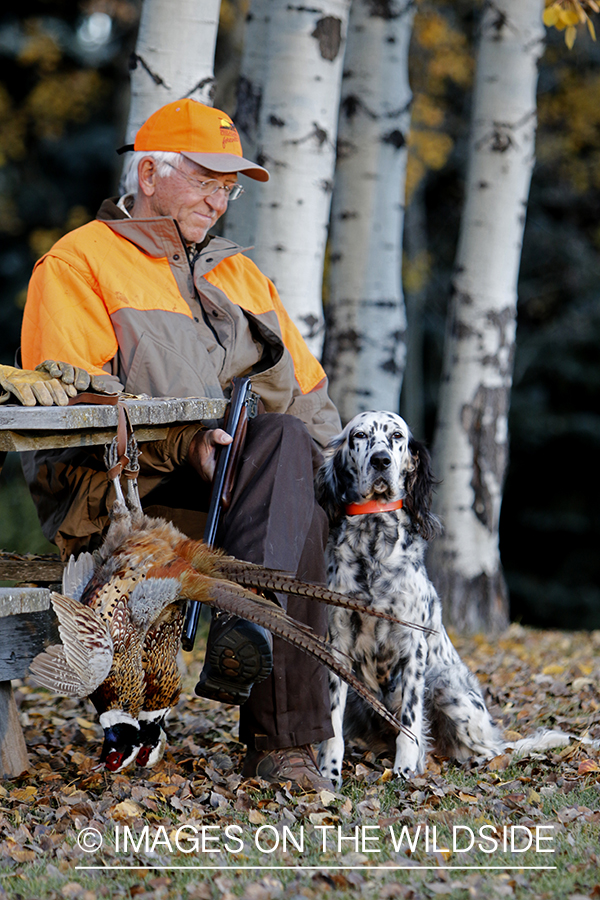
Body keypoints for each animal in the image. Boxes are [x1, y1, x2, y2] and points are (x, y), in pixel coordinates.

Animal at [314, 412, 506, 784]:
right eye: (360, 436)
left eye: (397, 437)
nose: (381, 461)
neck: (374, 538)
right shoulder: (338, 641)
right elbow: (331, 720)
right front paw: (329, 772)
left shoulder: (413, 646)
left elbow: (410, 720)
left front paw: (405, 768)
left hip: (447, 687)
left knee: (492, 749)